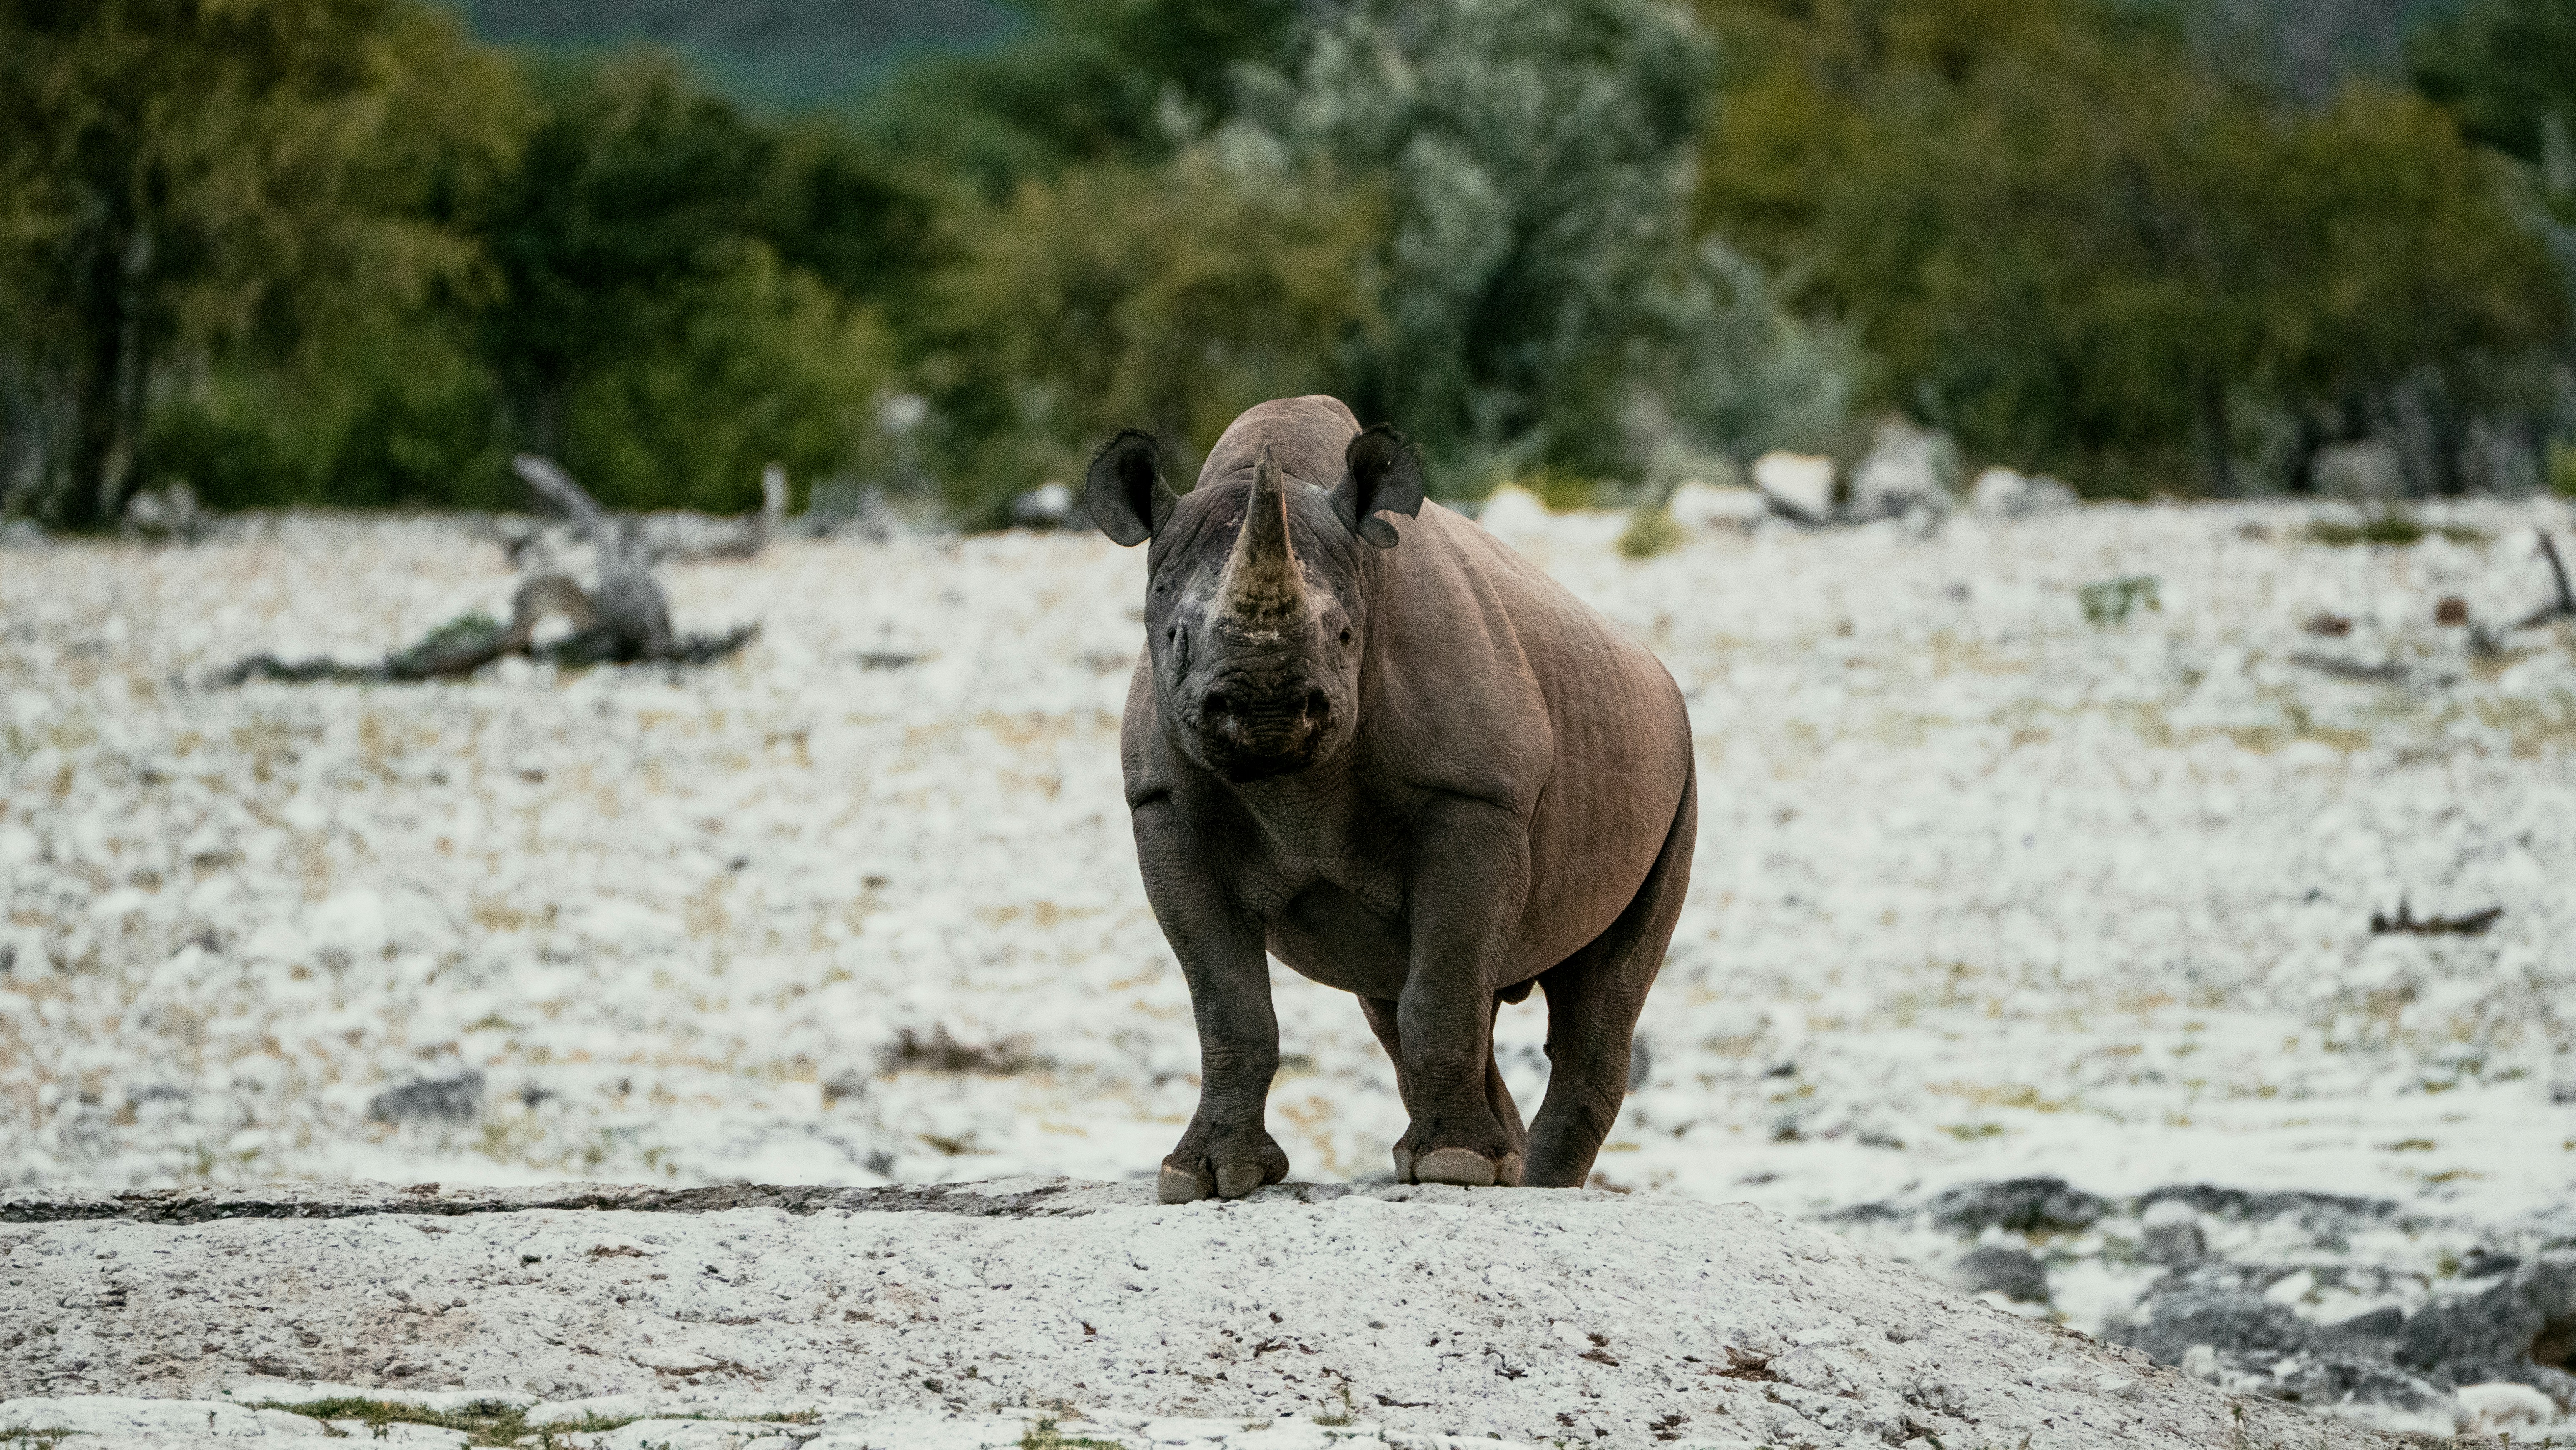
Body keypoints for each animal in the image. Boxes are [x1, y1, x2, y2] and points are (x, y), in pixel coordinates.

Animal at [1084, 395, 1696, 1200]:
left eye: (1345, 634)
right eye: (1175, 635)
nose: (1264, 709)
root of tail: (1655, 669)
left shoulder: (1475, 797)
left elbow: (1441, 989)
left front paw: (1454, 1166)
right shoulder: (1162, 806)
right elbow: (1226, 1003)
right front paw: (1206, 1178)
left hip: (1679, 764)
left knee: (1596, 1001)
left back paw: (1526, 1182)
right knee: (1388, 996)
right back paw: (1502, 1168)